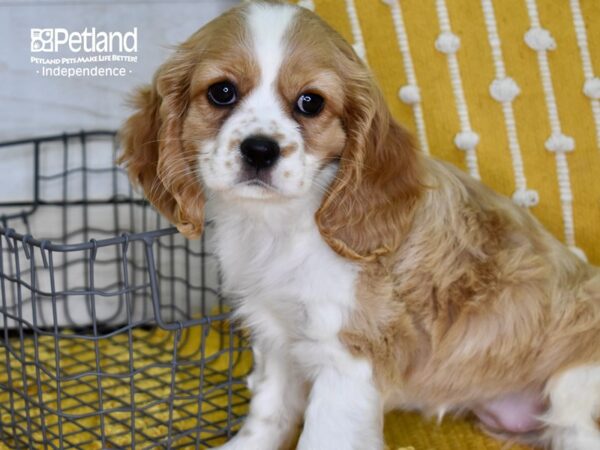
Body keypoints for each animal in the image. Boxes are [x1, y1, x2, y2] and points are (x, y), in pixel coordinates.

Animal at [118, 1, 600, 448]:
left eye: (310, 102)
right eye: (221, 92)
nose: (260, 149)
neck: (281, 226)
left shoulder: (349, 361)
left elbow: (320, 436)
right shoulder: (277, 336)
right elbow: (268, 414)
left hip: (573, 392)